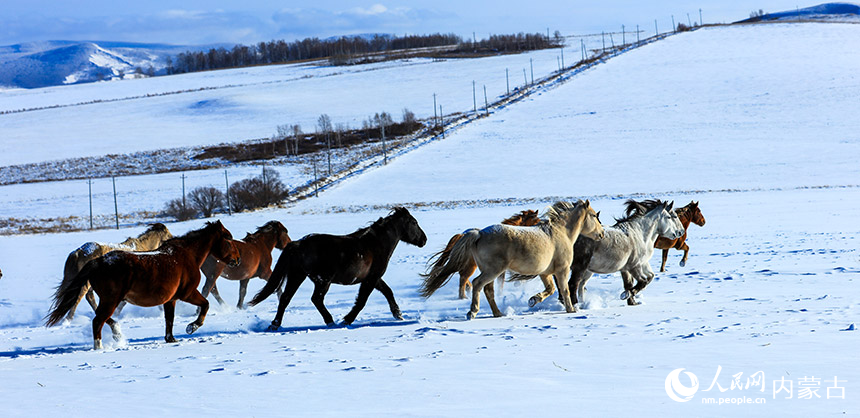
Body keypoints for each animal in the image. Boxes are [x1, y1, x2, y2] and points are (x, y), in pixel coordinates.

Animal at [48, 220, 240, 352]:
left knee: (99, 315)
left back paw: (117, 333)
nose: (237, 260)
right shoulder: (187, 293)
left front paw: (171, 339)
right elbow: (205, 305)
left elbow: (169, 320)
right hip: (110, 300)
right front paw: (191, 327)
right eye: (229, 239)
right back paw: (100, 347)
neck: (187, 256)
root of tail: (97, 262)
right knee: (97, 320)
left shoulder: (170, 300)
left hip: (109, 300)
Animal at [250, 207, 428, 328]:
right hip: (323, 280)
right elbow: (362, 301)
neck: (375, 244)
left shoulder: (374, 278)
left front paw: (398, 314)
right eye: (414, 222)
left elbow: (388, 292)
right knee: (316, 299)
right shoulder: (371, 279)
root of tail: (298, 244)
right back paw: (330, 321)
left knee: (286, 298)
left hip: (297, 276)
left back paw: (274, 324)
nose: (424, 240)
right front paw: (346, 320)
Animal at [424, 201, 604, 318]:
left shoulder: (545, 273)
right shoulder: (562, 270)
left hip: (491, 271)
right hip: (493, 271)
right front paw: (571, 310)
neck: (561, 233)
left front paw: (533, 300)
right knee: (476, 284)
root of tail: (479, 233)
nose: (601, 234)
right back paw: (473, 312)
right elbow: (565, 289)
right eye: (594, 215)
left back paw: (498, 313)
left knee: (488, 290)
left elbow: (551, 289)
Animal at [516, 199, 684, 306]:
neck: (640, 234)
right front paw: (626, 295)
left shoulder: (632, 267)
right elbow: (643, 281)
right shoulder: (635, 266)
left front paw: (632, 301)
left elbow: (639, 280)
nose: (681, 232)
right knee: (572, 285)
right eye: (673, 216)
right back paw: (575, 306)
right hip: (580, 267)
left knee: (567, 285)